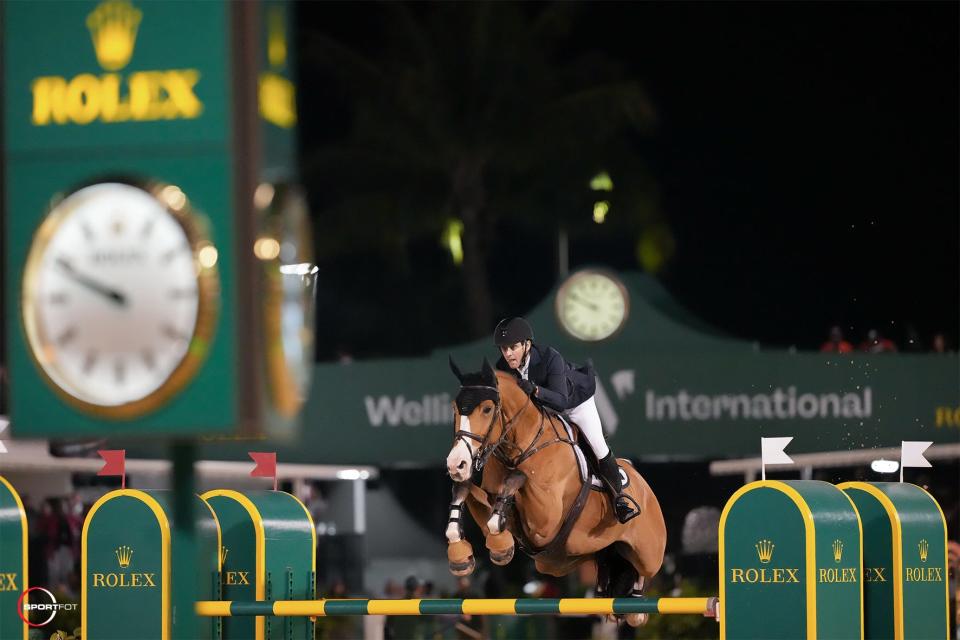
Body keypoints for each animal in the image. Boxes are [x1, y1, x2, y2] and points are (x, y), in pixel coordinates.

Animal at [444, 358, 664, 628]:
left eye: (486, 409)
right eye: (455, 408)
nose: (457, 464)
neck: (522, 445)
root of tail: (645, 487)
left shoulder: (544, 520)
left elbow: (517, 479)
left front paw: (497, 544)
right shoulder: (493, 500)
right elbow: (466, 490)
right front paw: (464, 553)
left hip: (648, 552)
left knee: (643, 569)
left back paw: (636, 607)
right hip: (564, 560)